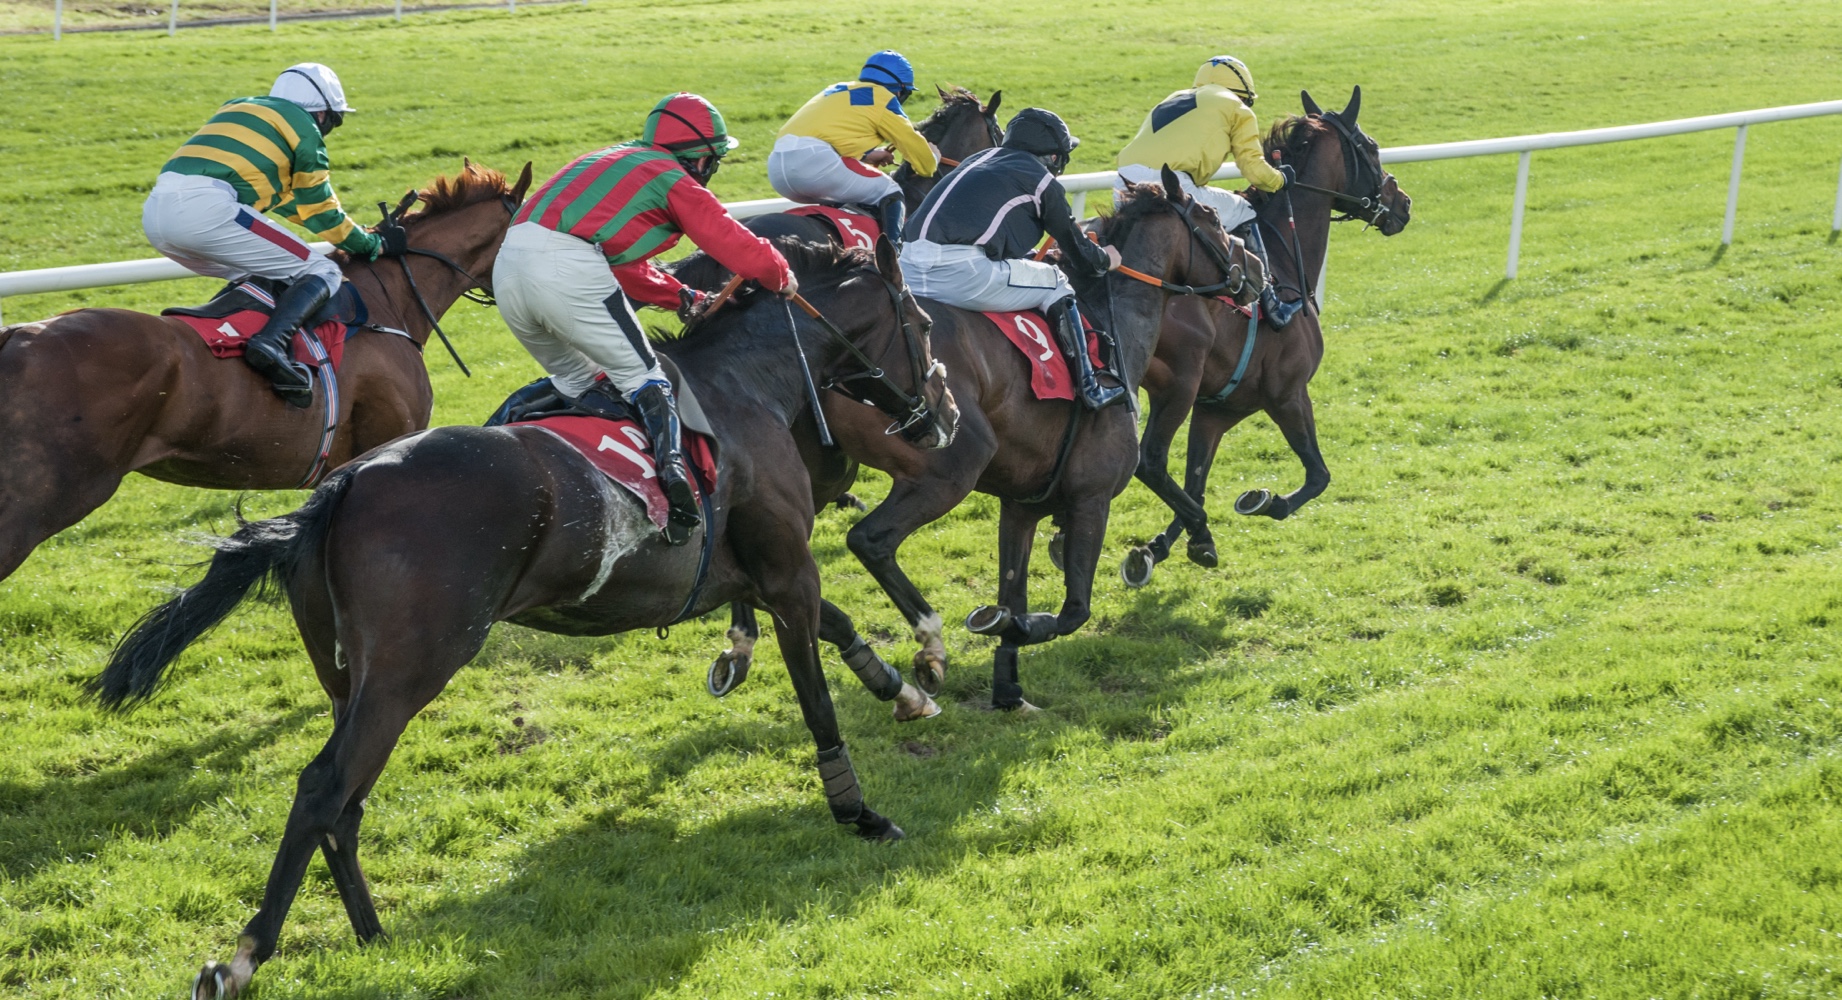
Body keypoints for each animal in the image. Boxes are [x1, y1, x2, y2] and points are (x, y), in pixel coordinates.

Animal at [87, 237, 957, 1000]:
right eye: (920, 322)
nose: (944, 412)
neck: (747, 389)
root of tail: (339, 487)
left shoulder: (753, 574)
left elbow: (837, 626)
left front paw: (908, 689)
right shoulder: (784, 570)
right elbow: (815, 693)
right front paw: (859, 810)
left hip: (349, 681)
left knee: (347, 803)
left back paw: (375, 936)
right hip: (408, 672)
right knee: (322, 788)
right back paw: (243, 957)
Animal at [1119, 87, 1407, 585]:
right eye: (1370, 147)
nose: (1404, 203)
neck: (1284, 257)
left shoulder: (1217, 408)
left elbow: (1196, 479)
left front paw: (1167, 545)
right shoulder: (1287, 392)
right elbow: (1318, 474)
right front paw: (1261, 501)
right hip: (1177, 385)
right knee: (1148, 459)